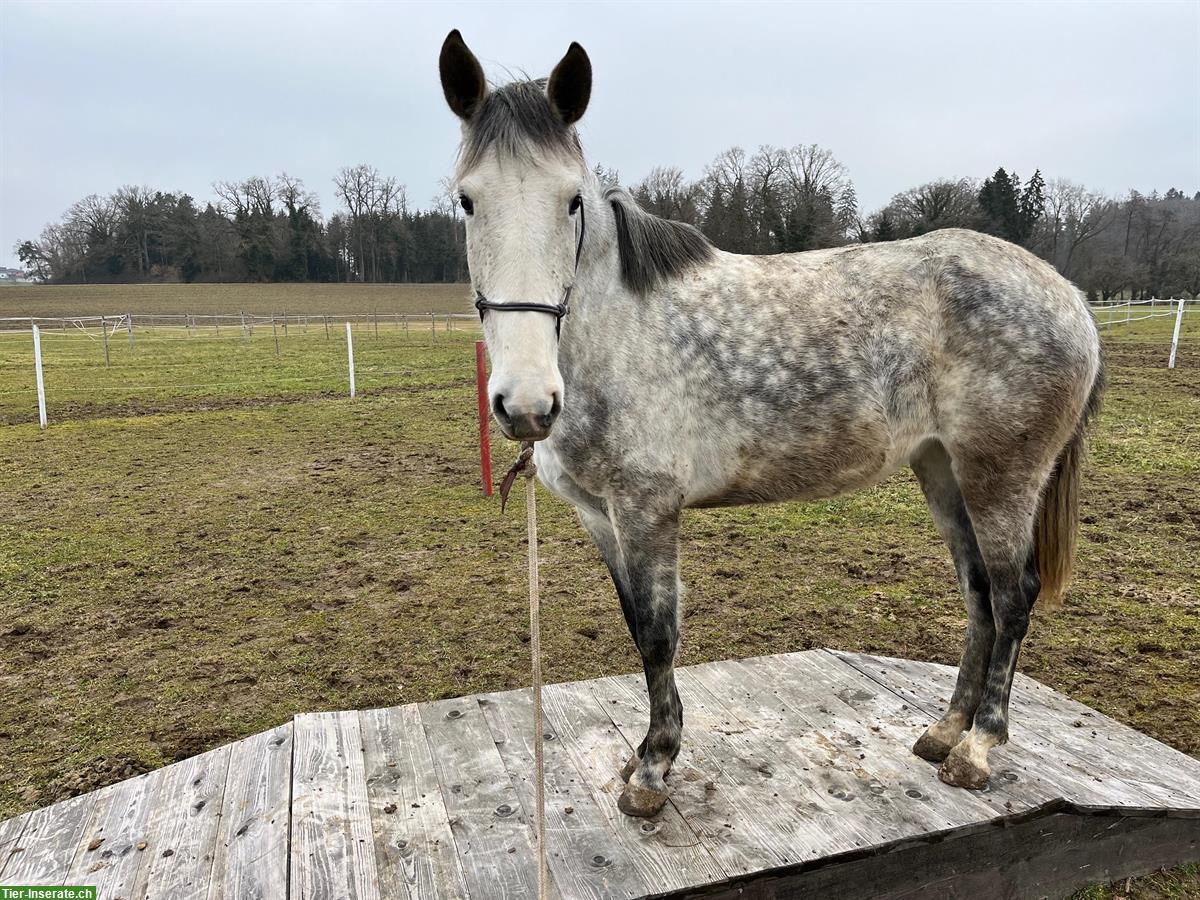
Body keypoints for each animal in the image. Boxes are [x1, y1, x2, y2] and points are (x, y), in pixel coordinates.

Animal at [436, 31, 1099, 820]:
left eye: (572, 201)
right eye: (467, 200)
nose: (527, 403)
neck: (615, 332)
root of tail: (1070, 297)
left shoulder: (647, 508)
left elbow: (658, 634)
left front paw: (655, 768)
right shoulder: (601, 514)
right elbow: (635, 628)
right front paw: (644, 752)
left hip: (1001, 475)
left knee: (1012, 593)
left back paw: (978, 748)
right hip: (942, 468)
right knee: (977, 592)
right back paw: (944, 731)